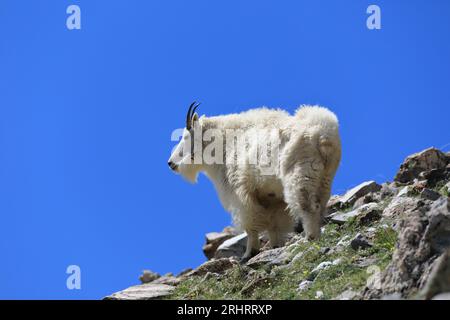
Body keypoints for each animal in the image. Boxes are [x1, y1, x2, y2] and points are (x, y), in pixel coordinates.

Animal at [168, 101, 342, 262]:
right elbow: (274, 224)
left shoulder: (240, 193)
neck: (226, 145)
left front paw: (248, 253)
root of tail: (323, 136)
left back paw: (310, 238)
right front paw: (275, 246)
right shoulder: (272, 197)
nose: (170, 163)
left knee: (307, 206)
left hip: (300, 175)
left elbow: (251, 226)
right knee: (320, 205)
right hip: (325, 178)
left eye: (186, 137)